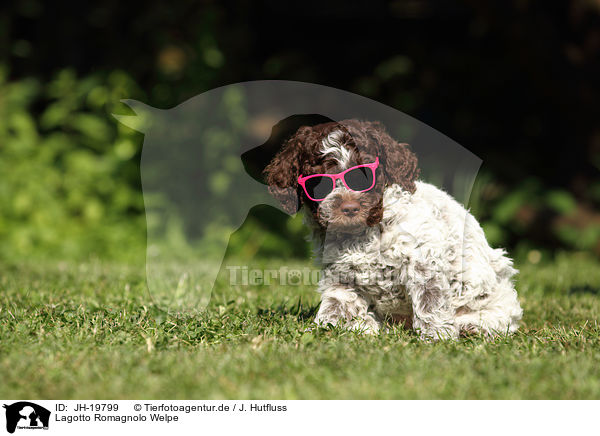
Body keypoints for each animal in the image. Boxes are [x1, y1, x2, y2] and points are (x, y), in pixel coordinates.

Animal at [262, 119, 520, 340]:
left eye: (366, 174)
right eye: (320, 180)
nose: (349, 208)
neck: (362, 234)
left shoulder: (423, 260)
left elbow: (430, 300)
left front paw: (437, 336)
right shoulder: (340, 275)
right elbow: (335, 304)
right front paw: (322, 329)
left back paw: (472, 327)